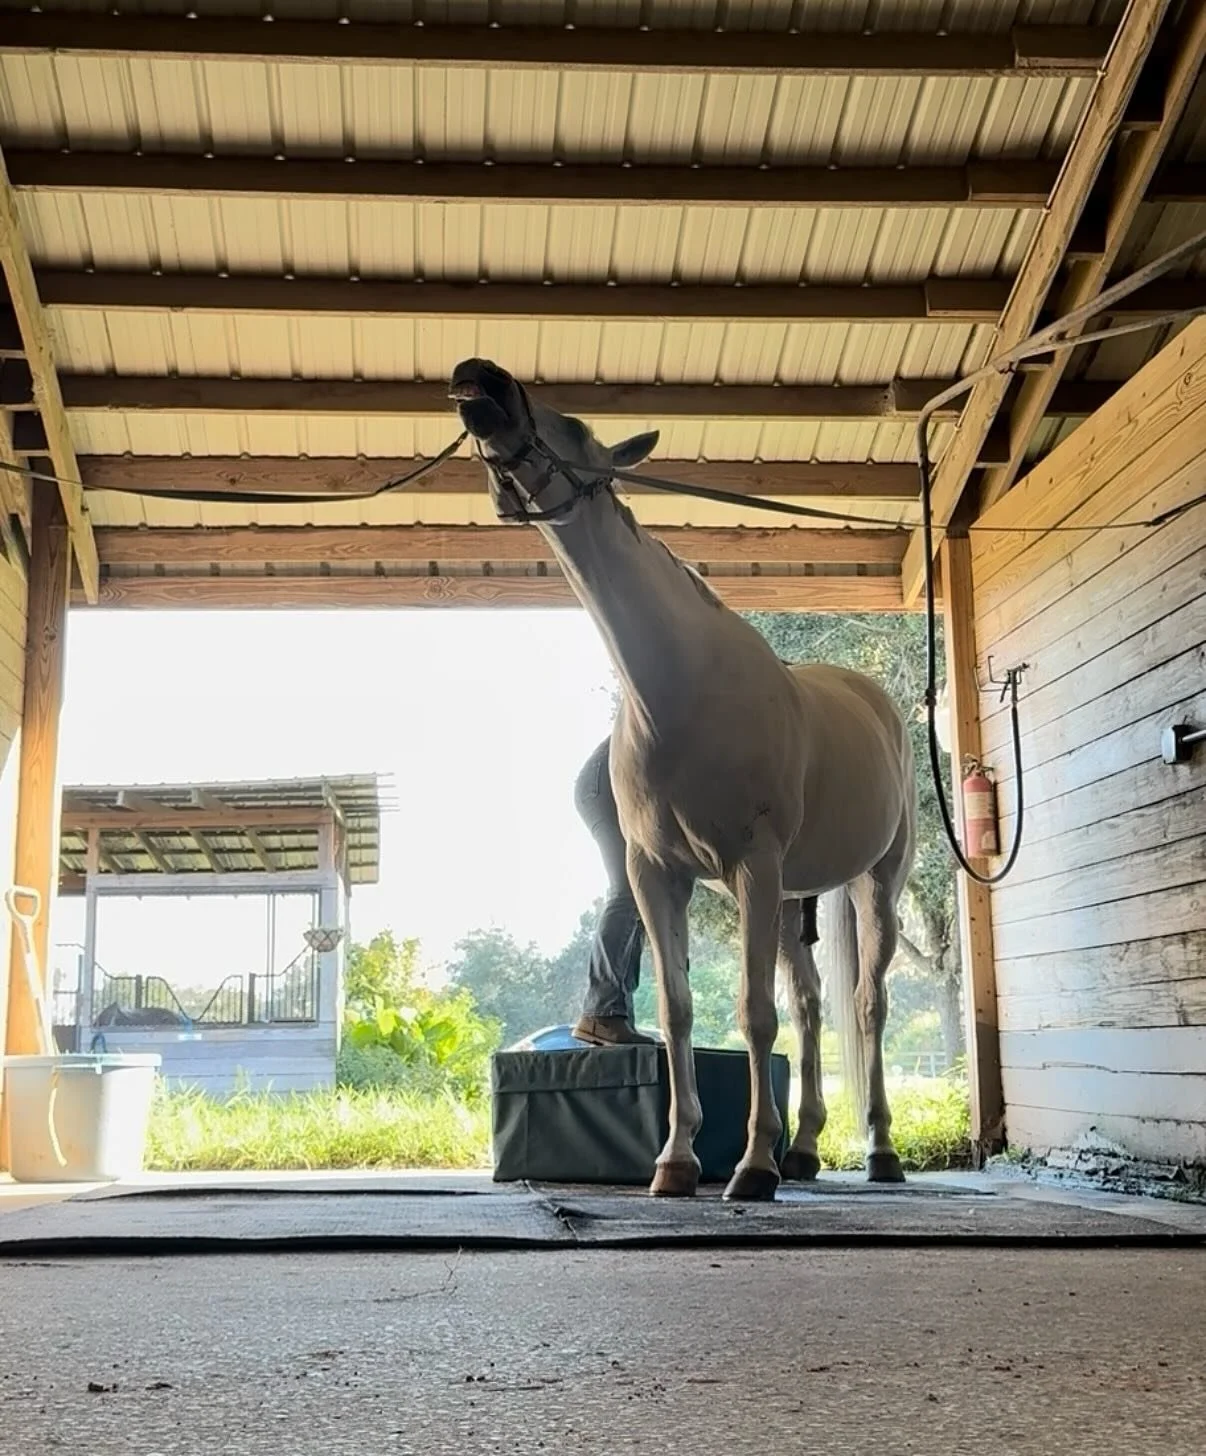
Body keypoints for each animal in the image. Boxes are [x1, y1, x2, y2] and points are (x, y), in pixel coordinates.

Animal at [450, 358, 917, 1202]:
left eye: (576, 427)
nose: (480, 379)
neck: (680, 691)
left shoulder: (751, 866)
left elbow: (753, 1012)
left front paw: (752, 1168)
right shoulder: (657, 873)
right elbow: (677, 1010)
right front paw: (676, 1160)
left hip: (875, 882)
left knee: (867, 1005)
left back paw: (878, 1151)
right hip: (794, 896)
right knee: (811, 1006)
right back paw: (805, 1147)